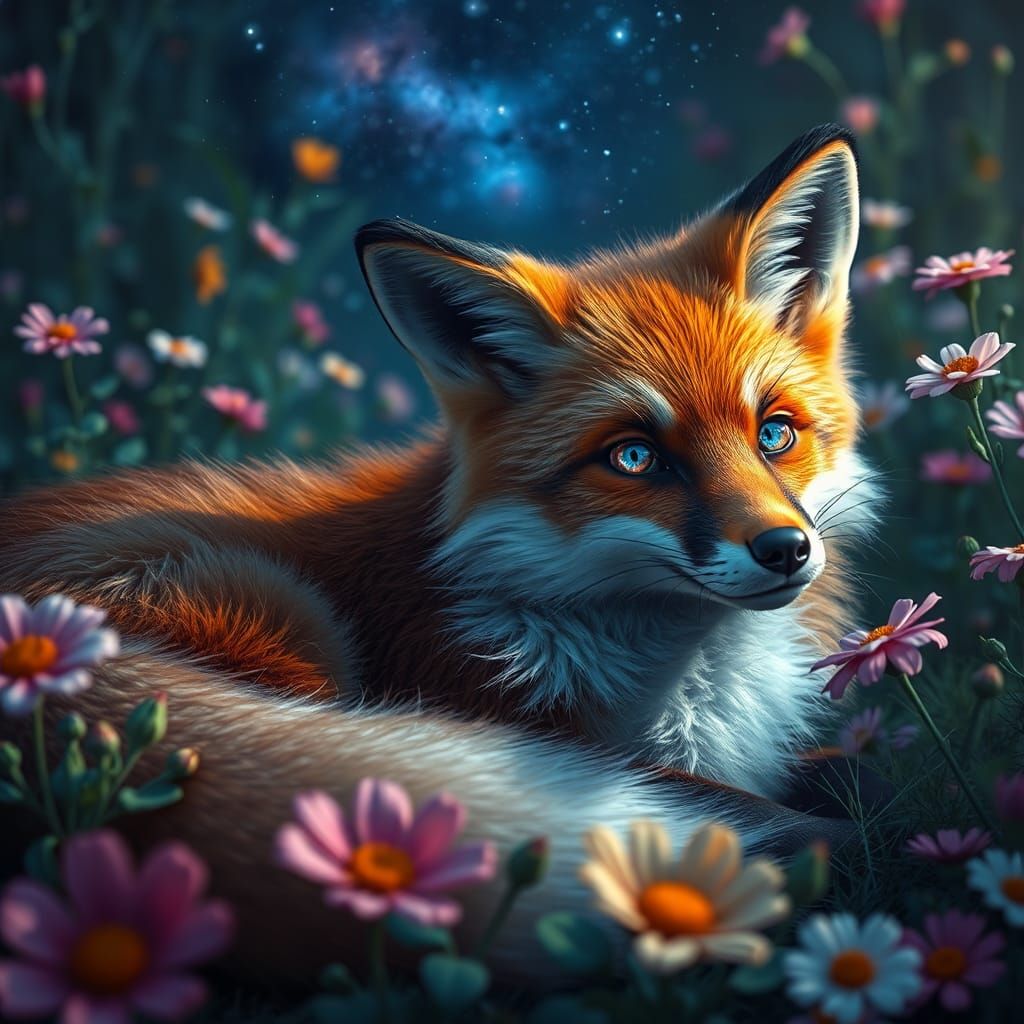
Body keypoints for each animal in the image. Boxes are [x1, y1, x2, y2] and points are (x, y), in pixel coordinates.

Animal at [0, 123, 877, 984]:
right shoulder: (521, 718)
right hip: (281, 620)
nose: (785, 549)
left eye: (775, 432)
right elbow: (784, 814)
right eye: (634, 458)